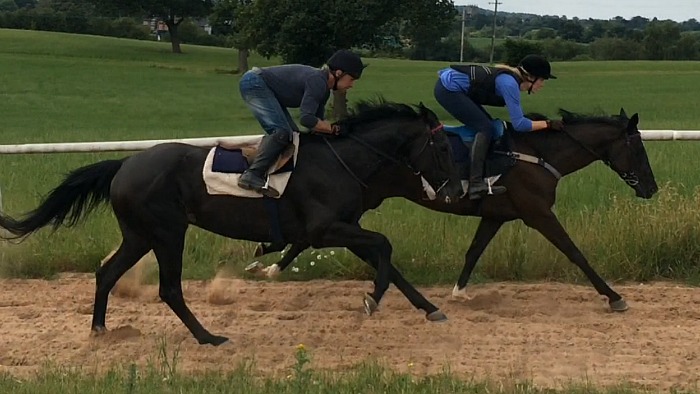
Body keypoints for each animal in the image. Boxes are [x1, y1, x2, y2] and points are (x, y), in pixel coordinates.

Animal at [0, 99, 464, 344]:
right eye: (443, 147)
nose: (458, 191)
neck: (344, 161)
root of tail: (126, 164)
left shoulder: (344, 230)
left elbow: (390, 262)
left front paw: (429, 308)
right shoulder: (325, 230)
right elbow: (384, 244)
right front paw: (372, 298)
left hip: (139, 234)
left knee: (106, 273)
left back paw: (100, 328)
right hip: (167, 231)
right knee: (169, 288)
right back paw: (208, 337)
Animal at [250, 107, 656, 310]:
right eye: (638, 148)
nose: (651, 188)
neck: (537, 154)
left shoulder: (496, 215)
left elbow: (474, 251)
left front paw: (460, 291)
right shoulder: (537, 213)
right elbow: (574, 252)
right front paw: (614, 296)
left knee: (314, 233)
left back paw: (270, 261)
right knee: (313, 233)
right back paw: (270, 262)